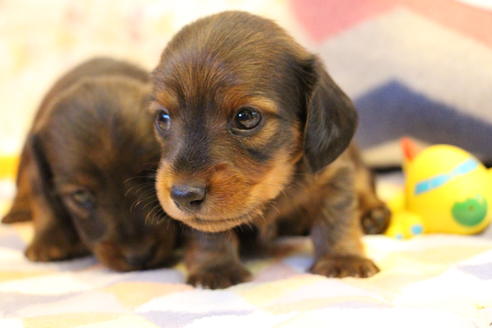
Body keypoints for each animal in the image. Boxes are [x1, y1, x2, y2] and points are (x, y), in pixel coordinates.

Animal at [150, 11, 388, 288]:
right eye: (163, 117)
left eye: (246, 117)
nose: (183, 195)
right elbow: (208, 233)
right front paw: (215, 267)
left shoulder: (335, 175)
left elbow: (336, 217)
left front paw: (343, 258)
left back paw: (373, 214)